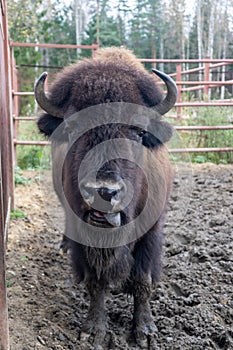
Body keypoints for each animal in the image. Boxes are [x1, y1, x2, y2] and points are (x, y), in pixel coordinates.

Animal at [34, 47, 177, 348]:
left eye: (139, 131)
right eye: (73, 128)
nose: (105, 191)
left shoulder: (151, 232)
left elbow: (143, 280)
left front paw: (145, 331)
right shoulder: (85, 234)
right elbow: (96, 282)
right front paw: (93, 330)